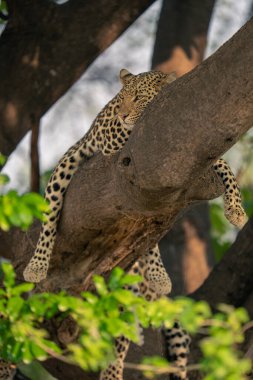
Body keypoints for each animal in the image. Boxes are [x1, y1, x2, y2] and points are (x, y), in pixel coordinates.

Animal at [23, 67, 247, 282]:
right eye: (122, 99)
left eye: (138, 97)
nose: (121, 115)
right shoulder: (112, 136)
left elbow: (225, 167)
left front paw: (236, 210)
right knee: (49, 219)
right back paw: (36, 267)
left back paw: (158, 274)